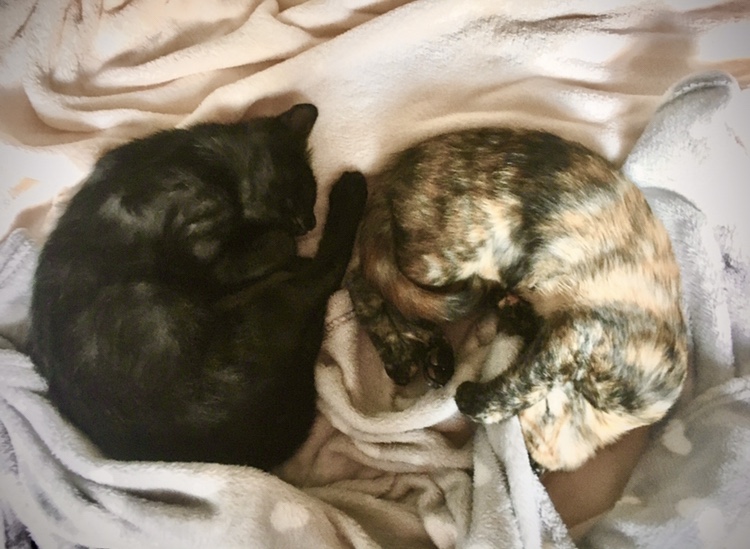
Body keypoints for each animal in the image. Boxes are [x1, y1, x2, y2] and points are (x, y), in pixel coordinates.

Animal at [28, 103, 368, 470]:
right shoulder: (204, 241)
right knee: (323, 275)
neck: (207, 155)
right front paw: (284, 246)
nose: (310, 222)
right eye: (303, 191)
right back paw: (350, 191)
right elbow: (274, 246)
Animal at [346, 127, 688, 472]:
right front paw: (472, 399)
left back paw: (423, 358)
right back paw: (410, 355)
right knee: (380, 286)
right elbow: (525, 383)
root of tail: (393, 174)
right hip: (452, 256)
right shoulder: (583, 334)